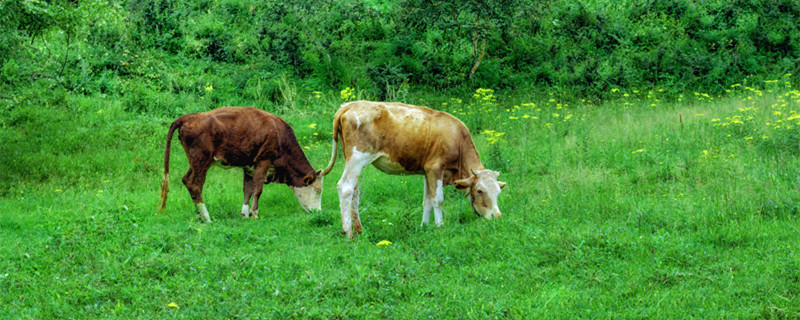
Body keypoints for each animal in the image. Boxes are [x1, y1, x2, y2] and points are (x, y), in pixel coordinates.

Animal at [158, 106, 324, 221]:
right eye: (317, 189)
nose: (318, 212)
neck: (280, 135)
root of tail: (188, 117)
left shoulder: (249, 166)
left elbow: (247, 189)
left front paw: (244, 214)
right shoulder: (264, 160)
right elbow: (258, 189)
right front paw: (254, 214)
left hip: (194, 163)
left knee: (186, 180)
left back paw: (199, 216)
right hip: (202, 161)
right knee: (194, 184)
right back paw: (207, 218)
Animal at [320, 100, 504, 238]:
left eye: (498, 191)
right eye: (479, 190)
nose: (497, 216)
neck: (457, 138)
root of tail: (349, 105)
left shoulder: (427, 172)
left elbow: (427, 201)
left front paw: (424, 226)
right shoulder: (435, 168)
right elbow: (438, 200)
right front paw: (440, 226)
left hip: (353, 162)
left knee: (355, 193)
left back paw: (359, 229)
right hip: (357, 160)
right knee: (345, 188)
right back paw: (348, 233)